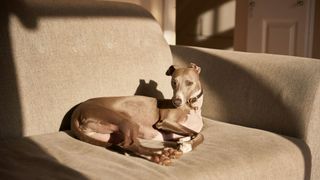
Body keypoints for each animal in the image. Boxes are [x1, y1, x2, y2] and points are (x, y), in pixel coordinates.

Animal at [70, 62, 205, 165]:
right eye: (173, 82)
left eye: (189, 83)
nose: (176, 102)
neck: (192, 108)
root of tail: (77, 110)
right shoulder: (165, 122)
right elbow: (199, 134)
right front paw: (187, 145)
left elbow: (192, 133)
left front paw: (184, 141)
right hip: (126, 121)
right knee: (128, 145)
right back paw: (159, 155)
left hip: (114, 132)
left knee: (131, 145)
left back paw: (164, 152)